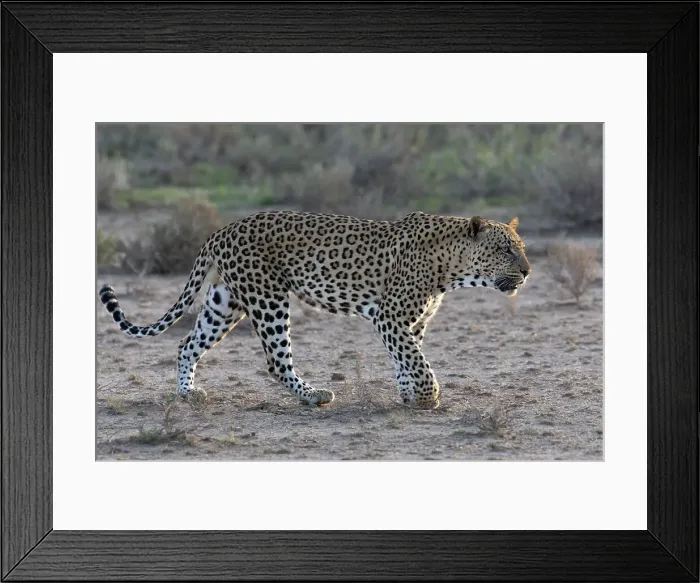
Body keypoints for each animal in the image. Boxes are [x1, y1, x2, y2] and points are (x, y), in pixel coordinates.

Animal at [98, 210, 531, 409]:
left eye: (521, 247)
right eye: (504, 249)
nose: (528, 270)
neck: (452, 265)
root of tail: (221, 230)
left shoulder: (412, 321)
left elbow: (406, 359)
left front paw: (409, 395)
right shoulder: (390, 317)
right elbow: (416, 360)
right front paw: (427, 396)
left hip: (225, 302)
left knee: (186, 342)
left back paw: (187, 393)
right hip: (268, 297)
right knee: (276, 361)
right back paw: (313, 395)